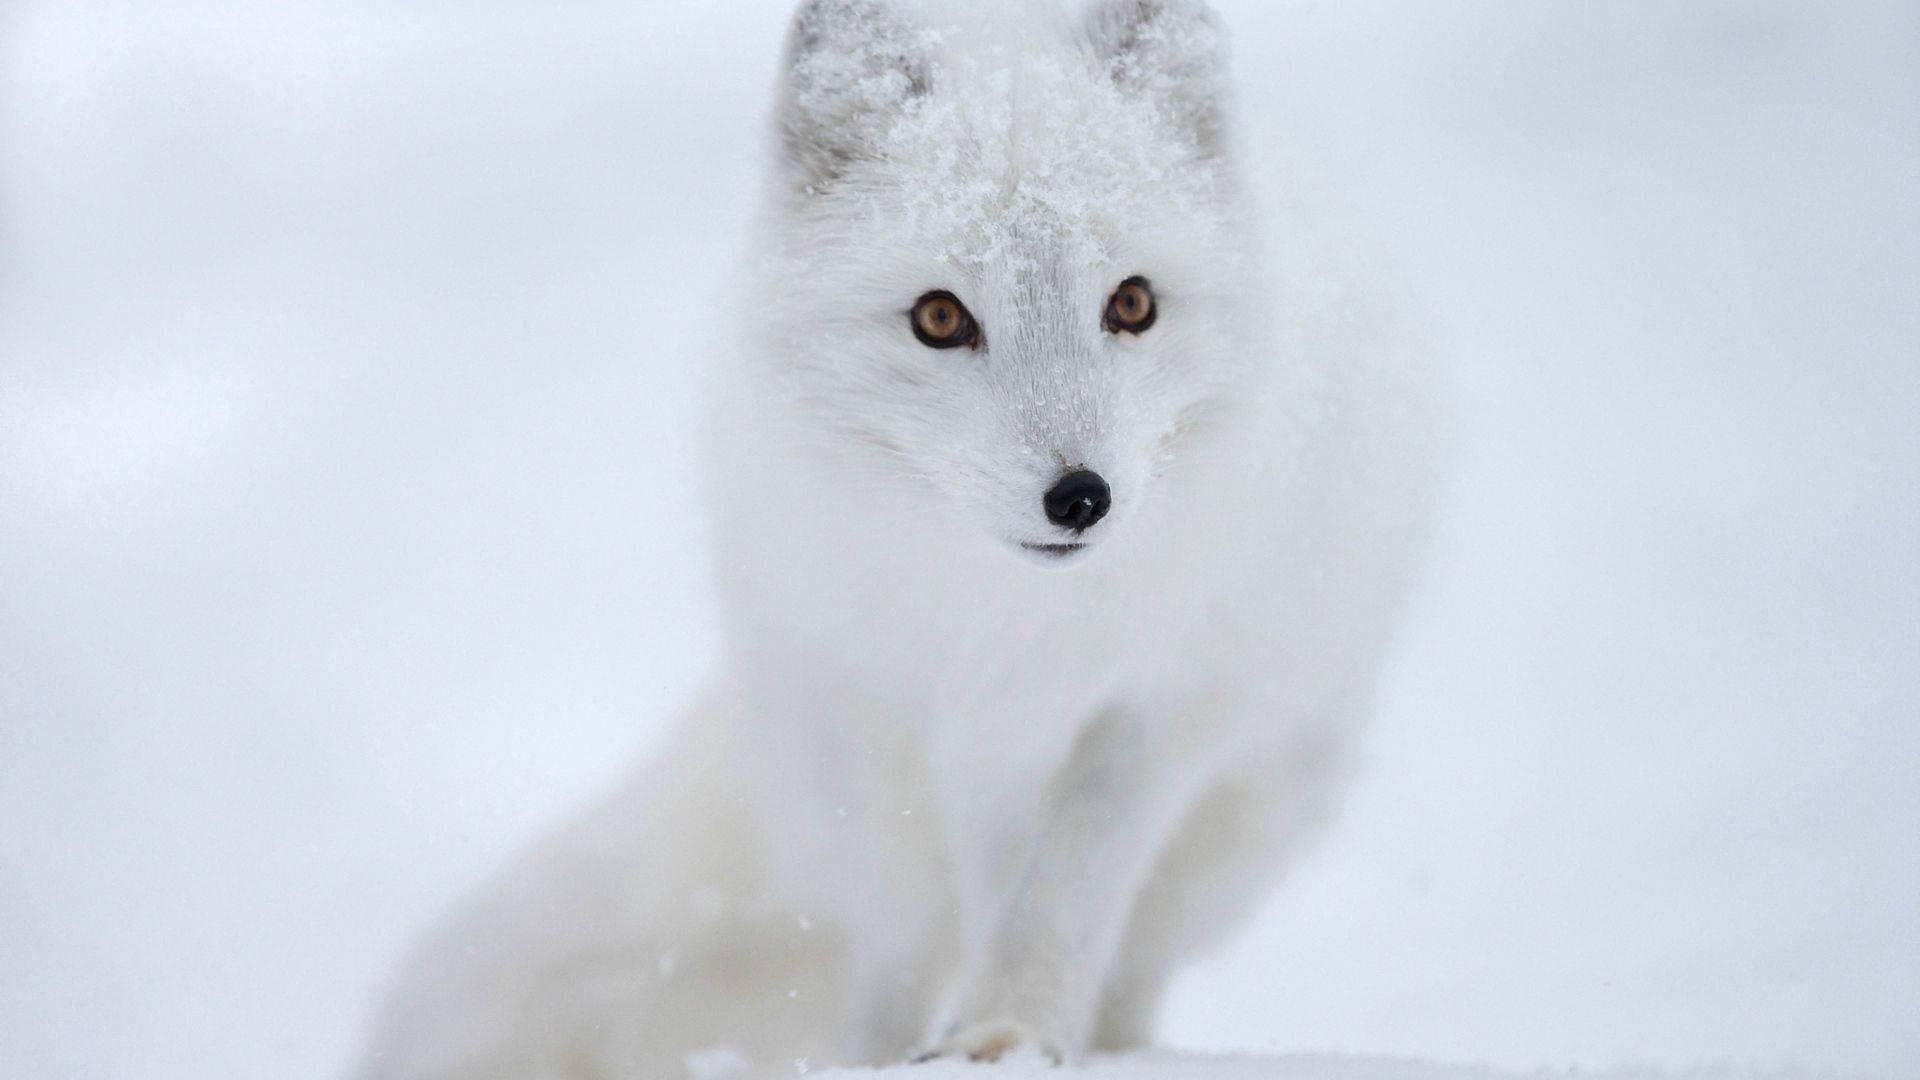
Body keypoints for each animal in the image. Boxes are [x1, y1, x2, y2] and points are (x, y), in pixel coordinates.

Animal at [360, 1, 1438, 1077]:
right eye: (940, 317)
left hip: (1256, 805)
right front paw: (934, 1047)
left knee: (1132, 960)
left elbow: (1064, 890)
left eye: (1132, 303)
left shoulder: (1155, 714)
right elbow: (940, 926)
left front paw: (1013, 1032)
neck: (1014, 625)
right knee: (897, 935)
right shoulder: (909, 724)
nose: (1080, 499)